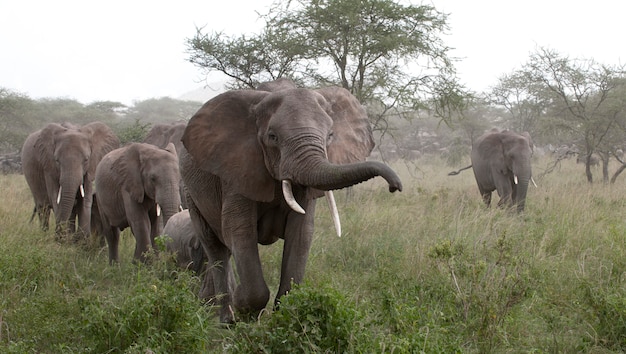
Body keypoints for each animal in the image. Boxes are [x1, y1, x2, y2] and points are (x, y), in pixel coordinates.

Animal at [178, 83, 402, 324]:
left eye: (330, 135)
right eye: (272, 137)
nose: (395, 186)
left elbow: (301, 232)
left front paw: (285, 315)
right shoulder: (237, 170)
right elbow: (240, 231)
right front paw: (245, 309)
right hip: (190, 194)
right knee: (215, 246)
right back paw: (227, 320)